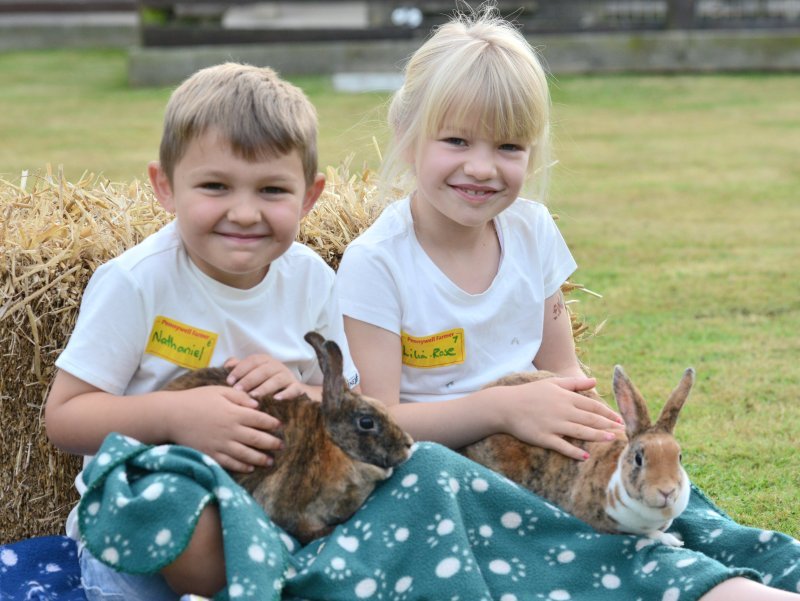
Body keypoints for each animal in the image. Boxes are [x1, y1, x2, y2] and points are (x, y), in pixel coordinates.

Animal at [162, 330, 412, 540]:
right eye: (366, 422)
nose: (408, 444)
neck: (332, 443)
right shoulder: (295, 511)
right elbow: (305, 529)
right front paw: (329, 532)